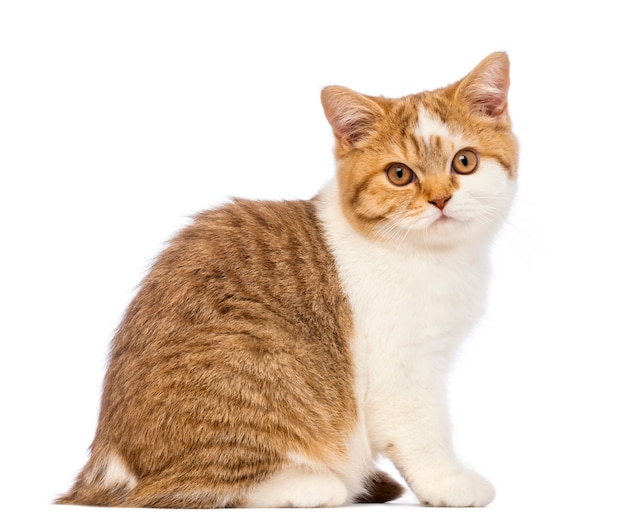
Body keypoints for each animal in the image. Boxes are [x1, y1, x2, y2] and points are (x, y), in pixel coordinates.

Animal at [57, 52, 516, 510]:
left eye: (465, 161)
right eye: (399, 174)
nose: (440, 199)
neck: (435, 256)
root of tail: (108, 464)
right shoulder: (400, 367)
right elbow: (423, 432)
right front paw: (448, 482)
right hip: (253, 357)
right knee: (194, 486)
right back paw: (314, 484)